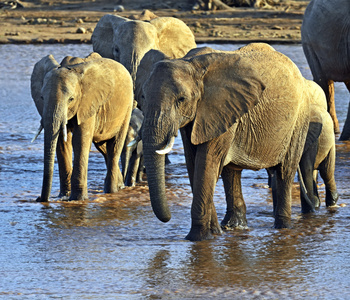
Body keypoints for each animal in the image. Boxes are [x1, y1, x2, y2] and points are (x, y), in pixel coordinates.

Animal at [30, 53, 134, 202]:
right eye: (42, 97)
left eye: (71, 99)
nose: (39, 198)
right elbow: (62, 142)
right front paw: (64, 197)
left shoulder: (88, 103)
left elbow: (80, 141)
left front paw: (77, 199)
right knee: (102, 147)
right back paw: (119, 186)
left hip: (127, 107)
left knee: (114, 146)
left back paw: (111, 191)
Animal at [140, 42, 318, 240]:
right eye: (143, 97)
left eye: (181, 99)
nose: (168, 218)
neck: (192, 64)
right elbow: (194, 164)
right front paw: (213, 233)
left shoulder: (220, 110)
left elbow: (206, 165)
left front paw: (197, 238)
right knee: (232, 172)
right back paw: (233, 227)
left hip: (299, 119)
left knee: (285, 170)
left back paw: (282, 227)